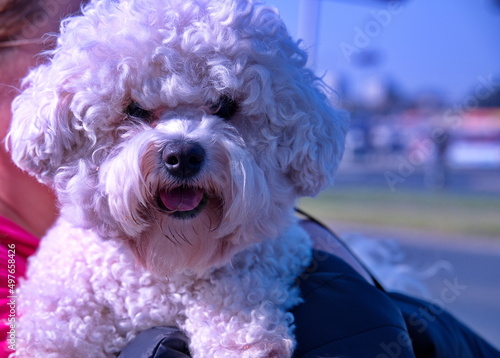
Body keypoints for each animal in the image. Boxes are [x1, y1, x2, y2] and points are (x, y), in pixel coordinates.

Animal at [6, 0, 348, 356]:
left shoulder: (267, 261)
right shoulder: (65, 302)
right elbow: (57, 332)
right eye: (135, 109)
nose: (183, 156)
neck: (167, 269)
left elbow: (238, 301)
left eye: (225, 105)